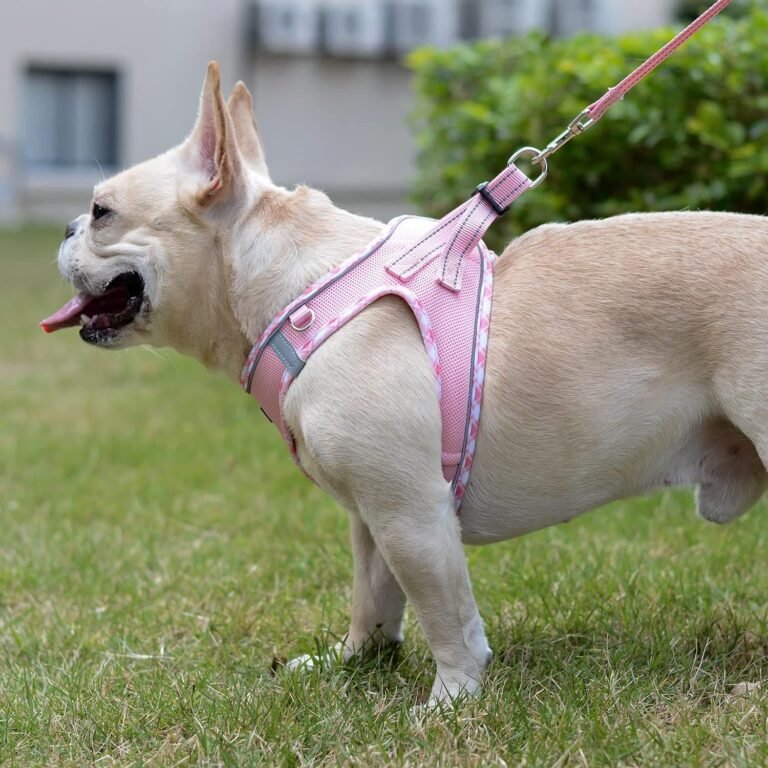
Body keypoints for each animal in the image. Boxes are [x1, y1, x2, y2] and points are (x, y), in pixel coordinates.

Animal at [40, 63, 768, 704]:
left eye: (102, 212)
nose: (66, 225)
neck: (297, 295)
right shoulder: (372, 515)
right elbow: (374, 595)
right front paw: (356, 663)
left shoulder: (411, 514)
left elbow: (444, 614)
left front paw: (450, 699)